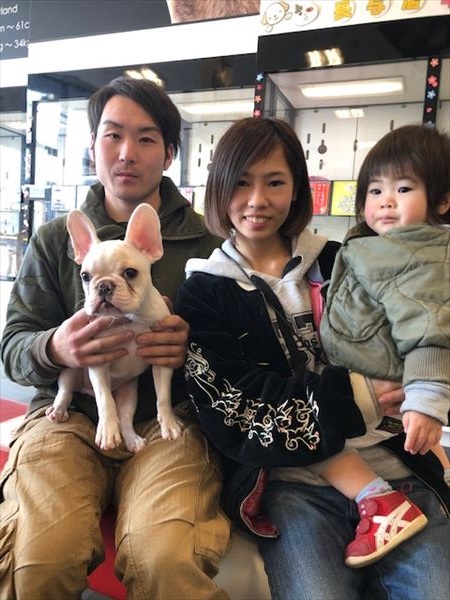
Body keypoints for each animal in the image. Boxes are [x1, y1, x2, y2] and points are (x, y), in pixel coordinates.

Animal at [45, 203, 182, 453]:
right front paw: (108, 432)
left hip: (129, 393)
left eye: (130, 273)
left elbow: (163, 397)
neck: (130, 319)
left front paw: (169, 424)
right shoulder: (96, 361)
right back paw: (59, 410)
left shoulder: (161, 361)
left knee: (126, 417)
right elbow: (105, 400)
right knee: (65, 390)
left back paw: (132, 439)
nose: (104, 286)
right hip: (70, 369)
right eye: (85, 276)